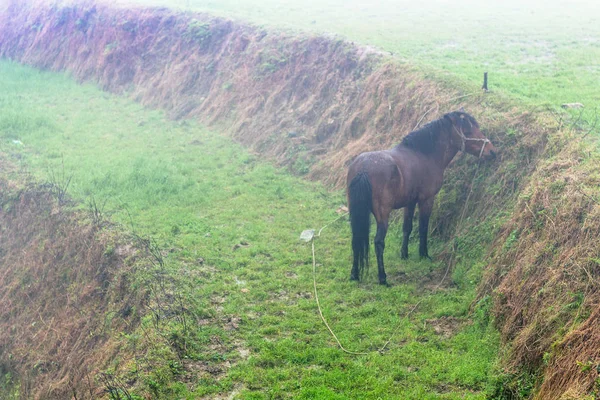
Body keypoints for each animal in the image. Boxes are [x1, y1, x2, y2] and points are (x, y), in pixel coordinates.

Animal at [346, 110, 496, 284]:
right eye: (468, 131)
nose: (492, 151)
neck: (424, 155)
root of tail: (363, 168)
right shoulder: (426, 200)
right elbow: (423, 227)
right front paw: (424, 254)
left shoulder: (410, 202)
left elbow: (407, 228)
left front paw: (404, 254)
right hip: (383, 215)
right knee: (378, 242)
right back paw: (383, 277)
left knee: (356, 238)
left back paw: (354, 274)